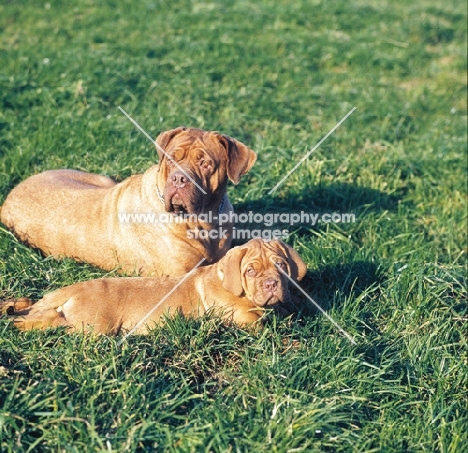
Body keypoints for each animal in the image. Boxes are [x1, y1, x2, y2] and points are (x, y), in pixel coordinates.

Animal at [0, 238, 308, 334]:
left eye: (281, 265)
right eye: (250, 271)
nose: (271, 284)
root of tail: (74, 288)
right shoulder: (241, 318)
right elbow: (263, 324)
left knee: (37, 316)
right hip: (93, 329)